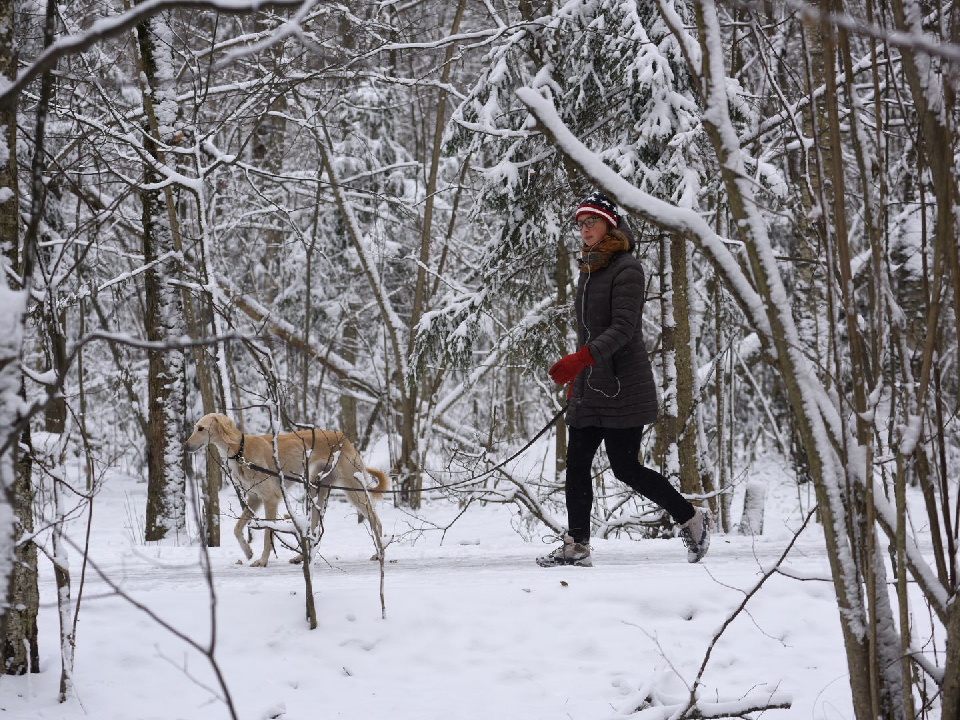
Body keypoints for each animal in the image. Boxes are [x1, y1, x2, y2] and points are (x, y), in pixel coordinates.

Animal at [184, 414, 386, 564]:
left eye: (200, 428)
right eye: (195, 428)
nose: (185, 447)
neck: (240, 450)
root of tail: (344, 437)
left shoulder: (270, 499)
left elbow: (268, 534)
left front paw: (262, 561)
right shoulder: (254, 498)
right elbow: (237, 528)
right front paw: (248, 552)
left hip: (353, 490)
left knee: (375, 520)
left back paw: (380, 552)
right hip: (315, 490)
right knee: (314, 528)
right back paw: (301, 557)